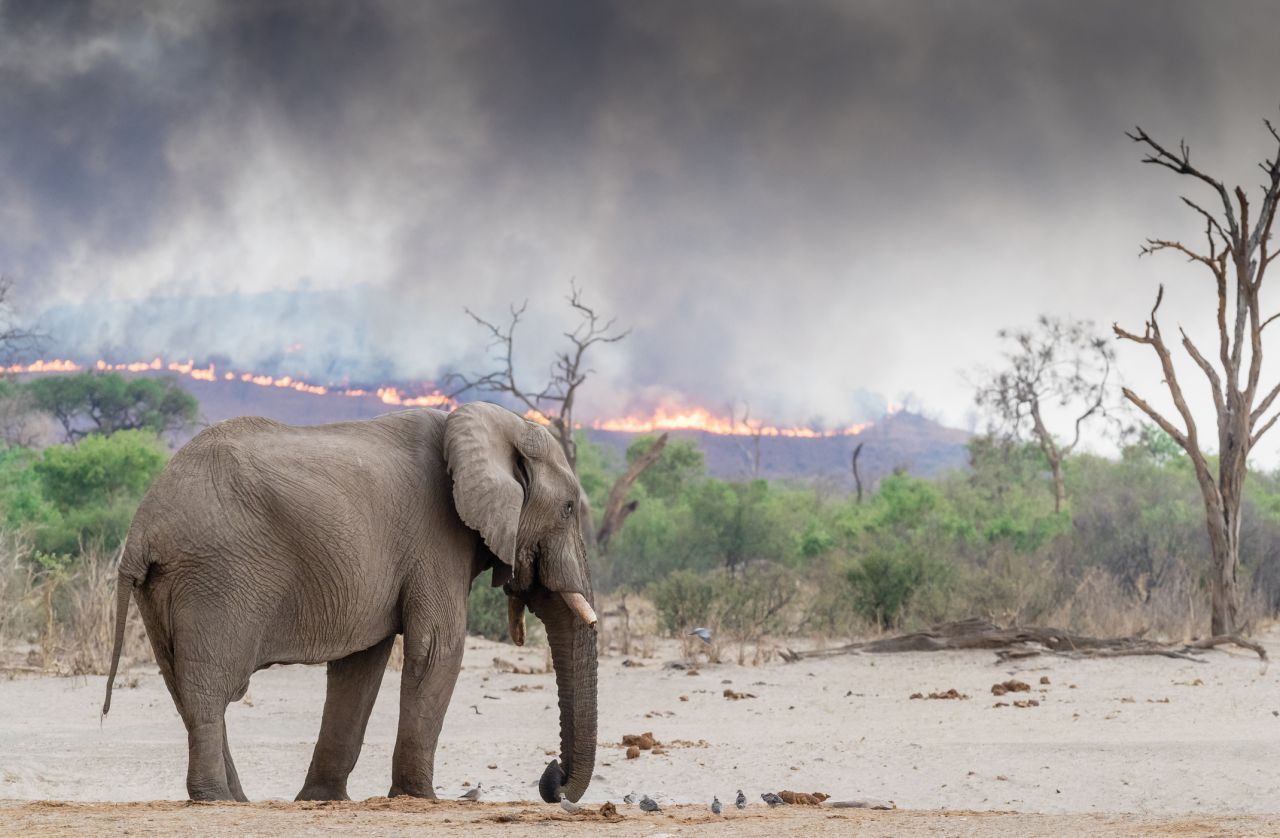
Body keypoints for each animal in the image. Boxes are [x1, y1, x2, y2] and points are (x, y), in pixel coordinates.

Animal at [101, 401, 599, 808]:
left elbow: (360, 666)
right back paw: (215, 800)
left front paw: (322, 799)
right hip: (217, 576)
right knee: (211, 688)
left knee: (182, 687)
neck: (490, 425)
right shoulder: (437, 538)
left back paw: (238, 799)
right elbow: (437, 649)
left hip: (167, 587)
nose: (553, 778)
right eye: (569, 509)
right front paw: (420, 798)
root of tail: (142, 528)